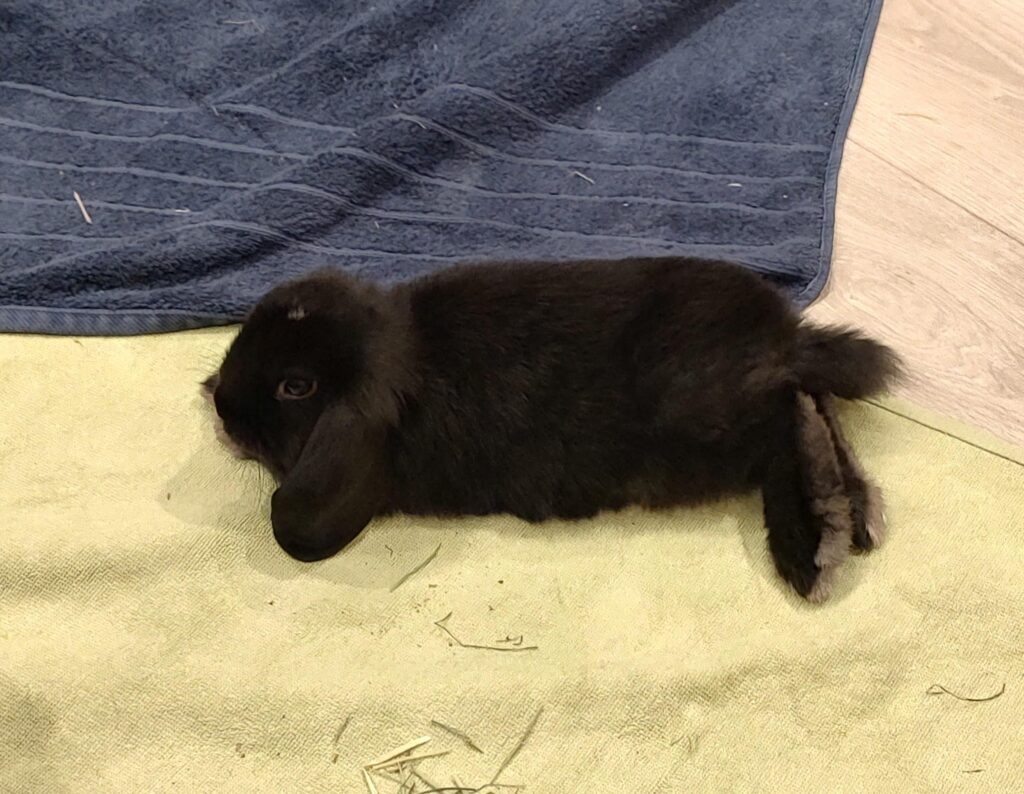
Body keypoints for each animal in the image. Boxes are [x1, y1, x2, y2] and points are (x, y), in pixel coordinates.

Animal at [203, 256, 900, 601]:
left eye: (296, 387)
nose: (219, 405)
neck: (407, 352)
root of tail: (786, 339)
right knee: (815, 405)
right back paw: (858, 517)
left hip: (707, 423)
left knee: (791, 422)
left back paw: (812, 543)